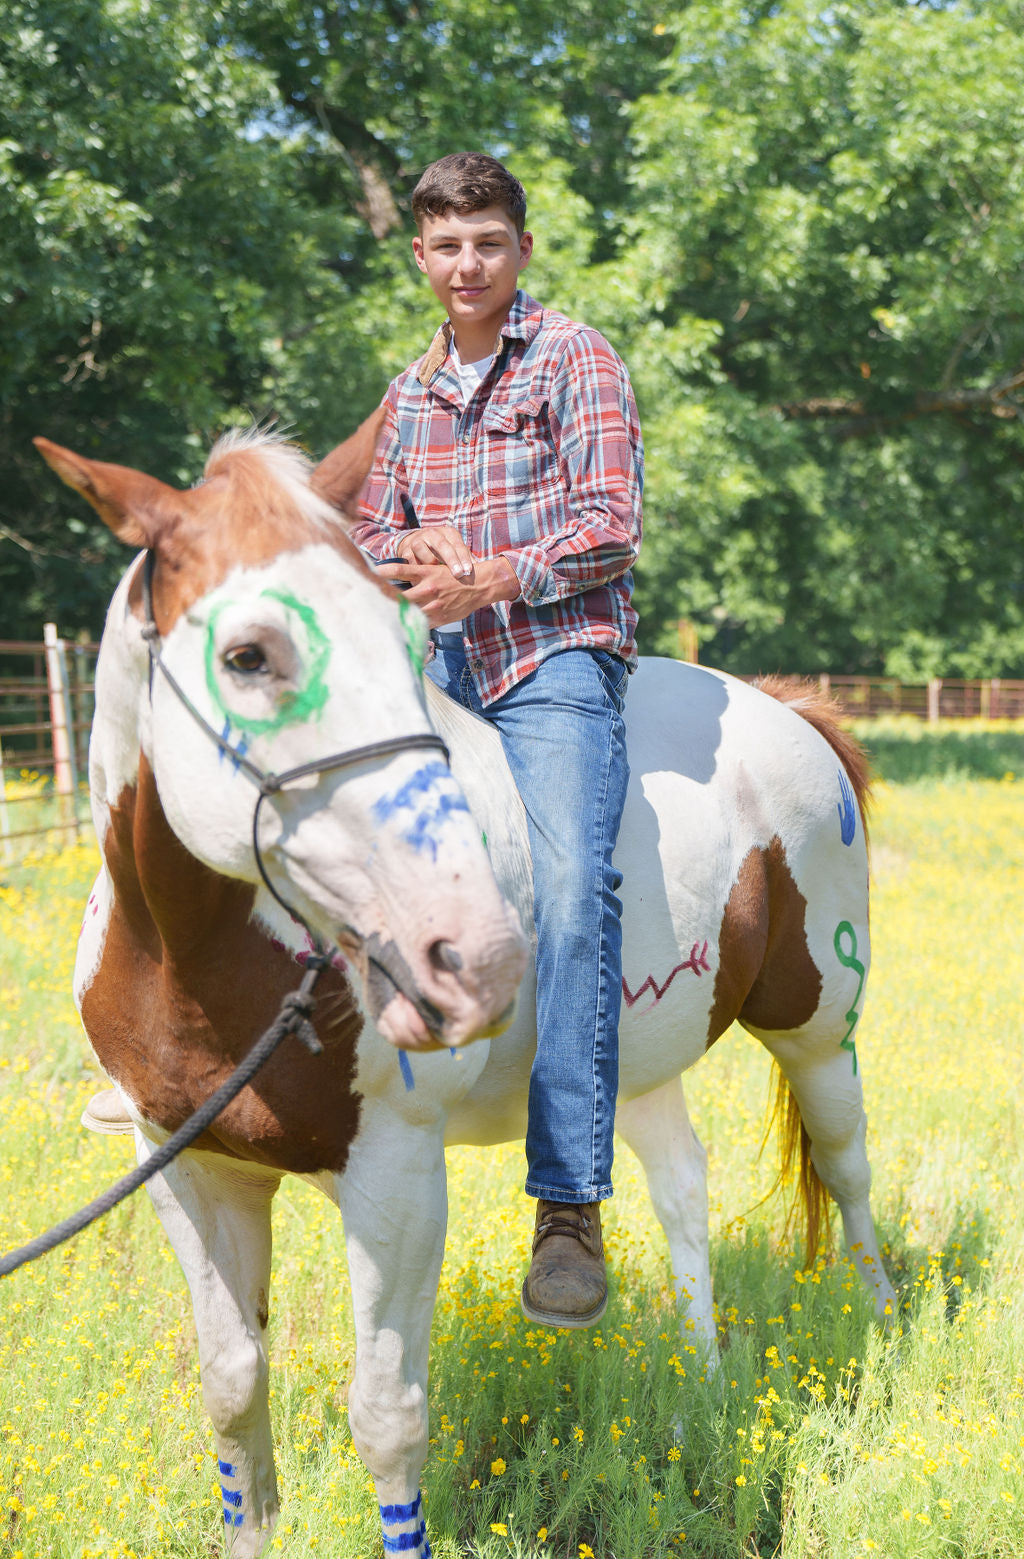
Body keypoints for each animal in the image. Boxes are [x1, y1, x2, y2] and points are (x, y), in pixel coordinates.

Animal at [35, 424, 891, 1559]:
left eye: (406, 640)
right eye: (248, 654)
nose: (471, 955)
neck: (201, 958)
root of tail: (788, 714)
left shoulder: (396, 1174)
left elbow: (388, 1417)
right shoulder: (190, 1168)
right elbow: (231, 1389)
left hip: (818, 1025)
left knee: (846, 1165)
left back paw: (880, 1323)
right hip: (643, 1060)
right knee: (682, 1189)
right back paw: (700, 1392)